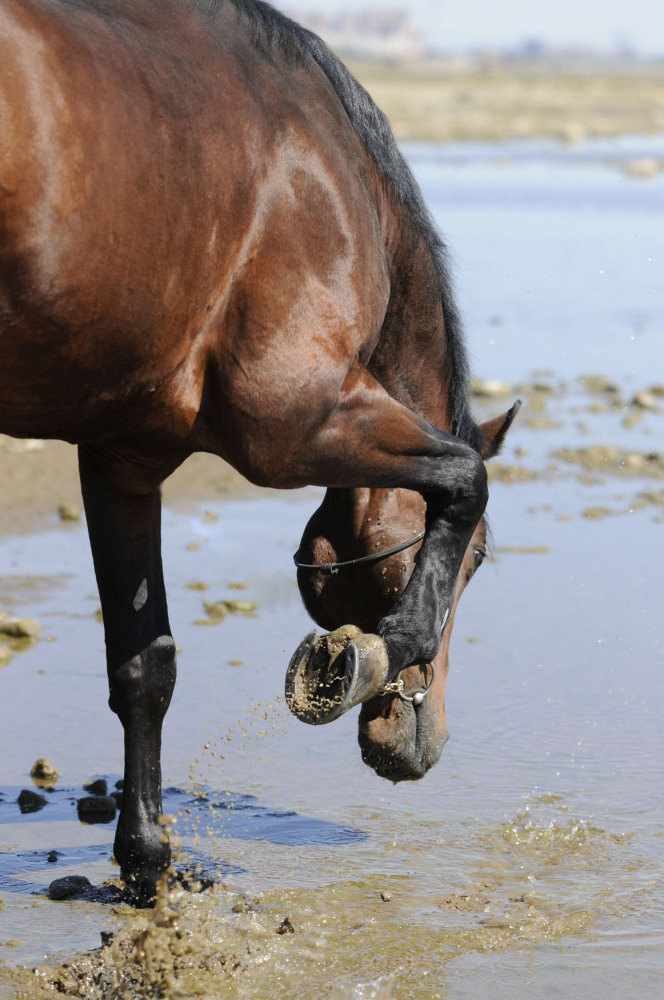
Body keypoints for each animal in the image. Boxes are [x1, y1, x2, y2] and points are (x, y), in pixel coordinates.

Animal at [0, 0, 520, 904]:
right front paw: (378, 650)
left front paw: (146, 862)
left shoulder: (121, 458)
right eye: (476, 561)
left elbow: (144, 667)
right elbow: (465, 477)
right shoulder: (294, 420)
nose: (425, 748)